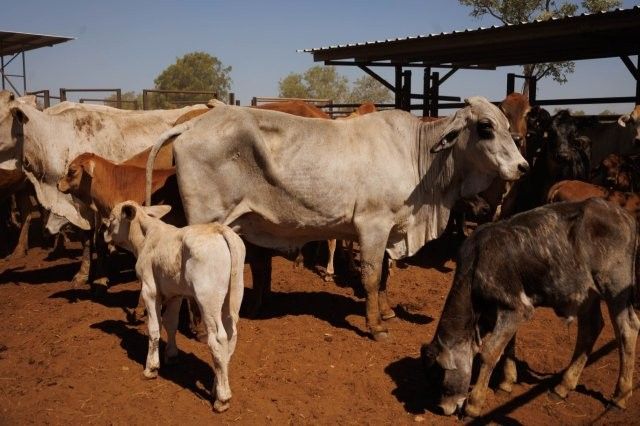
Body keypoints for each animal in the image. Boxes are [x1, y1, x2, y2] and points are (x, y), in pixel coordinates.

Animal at [103, 201, 245, 413]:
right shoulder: (175, 294)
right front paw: (171, 356)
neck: (146, 238)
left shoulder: (150, 290)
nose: (104, 234)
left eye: (112, 218)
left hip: (208, 299)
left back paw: (222, 399)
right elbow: (171, 324)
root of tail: (219, 229)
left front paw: (151, 368)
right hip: (233, 296)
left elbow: (154, 329)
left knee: (218, 339)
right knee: (230, 337)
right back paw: (217, 386)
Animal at [145, 96, 528, 340]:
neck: (418, 155)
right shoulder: (372, 225)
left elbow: (384, 275)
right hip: (206, 221)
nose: (523, 166)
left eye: (508, 126)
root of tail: (194, 123)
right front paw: (376, 326)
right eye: (485, 127)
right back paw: (198, 329)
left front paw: (386, 311)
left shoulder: (388, 229)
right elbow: (371, 277)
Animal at [421, 198, 639, 417]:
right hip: (588, 293)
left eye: (440, 373)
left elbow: (489, 352)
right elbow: (508, 347)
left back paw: (619, 397)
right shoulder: (505, 311)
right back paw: (563, 386)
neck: (477, 260)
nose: (441, 408)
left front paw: (474, 404)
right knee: (591, 327)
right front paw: (506, 383)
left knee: (627, 328)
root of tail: (625, 216)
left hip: (615, 285)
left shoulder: (517, 308)